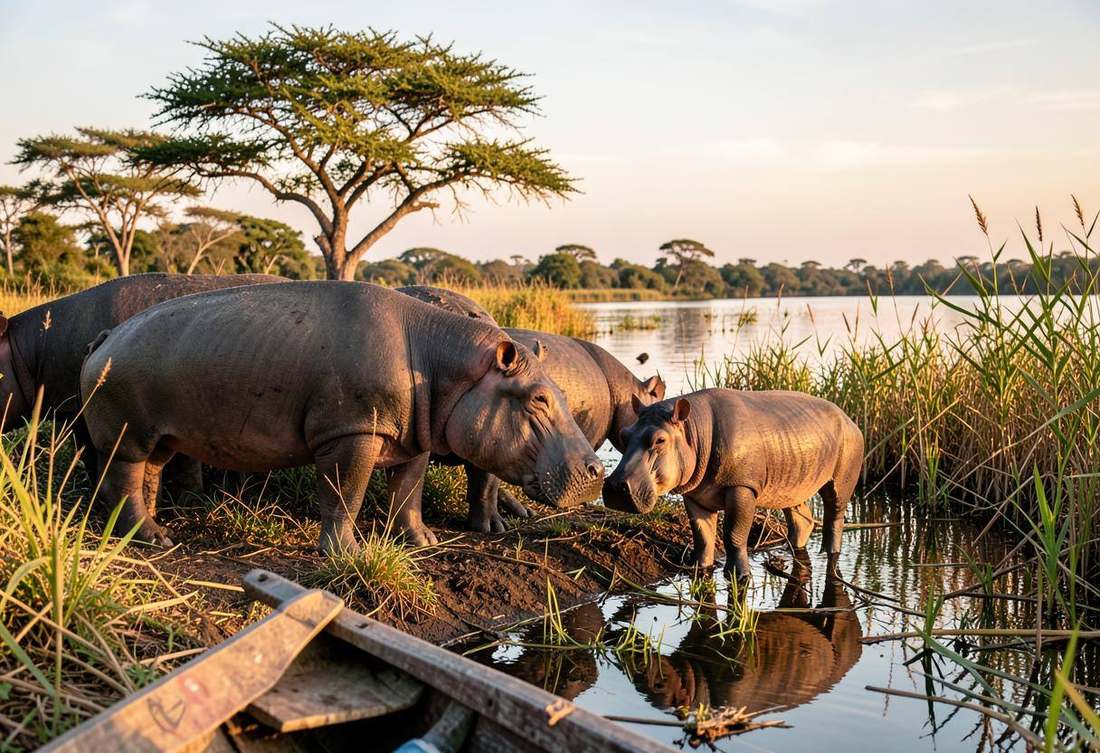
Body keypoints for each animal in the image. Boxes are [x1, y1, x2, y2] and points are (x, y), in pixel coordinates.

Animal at [79, 281, 604, 552]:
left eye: (559, 390)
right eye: (538, 399)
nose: (597, 470)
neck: (445, 359)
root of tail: (104, 338)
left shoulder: (411, 437)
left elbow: (408, 493)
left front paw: (424, 542)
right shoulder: (351, 432)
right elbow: (345, 494)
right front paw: (346, 554)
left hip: (159, 435)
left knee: (150, 474)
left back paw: (160, 535)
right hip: (126, 432)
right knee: (124, 479)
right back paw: (148, 539)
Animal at [603, 388, 863, 578]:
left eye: (660, 440)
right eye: (624, 434)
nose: (615, 487)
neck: (693, 431)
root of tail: (849, 419)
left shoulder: (741, 487)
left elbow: (734, 533)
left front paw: (739, 576)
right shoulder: (695, 495)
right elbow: (702, 535)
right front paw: (698, 569)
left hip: (844, 468)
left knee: (835, 512)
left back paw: (829, 554)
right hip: (793, 475)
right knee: (800, 516)